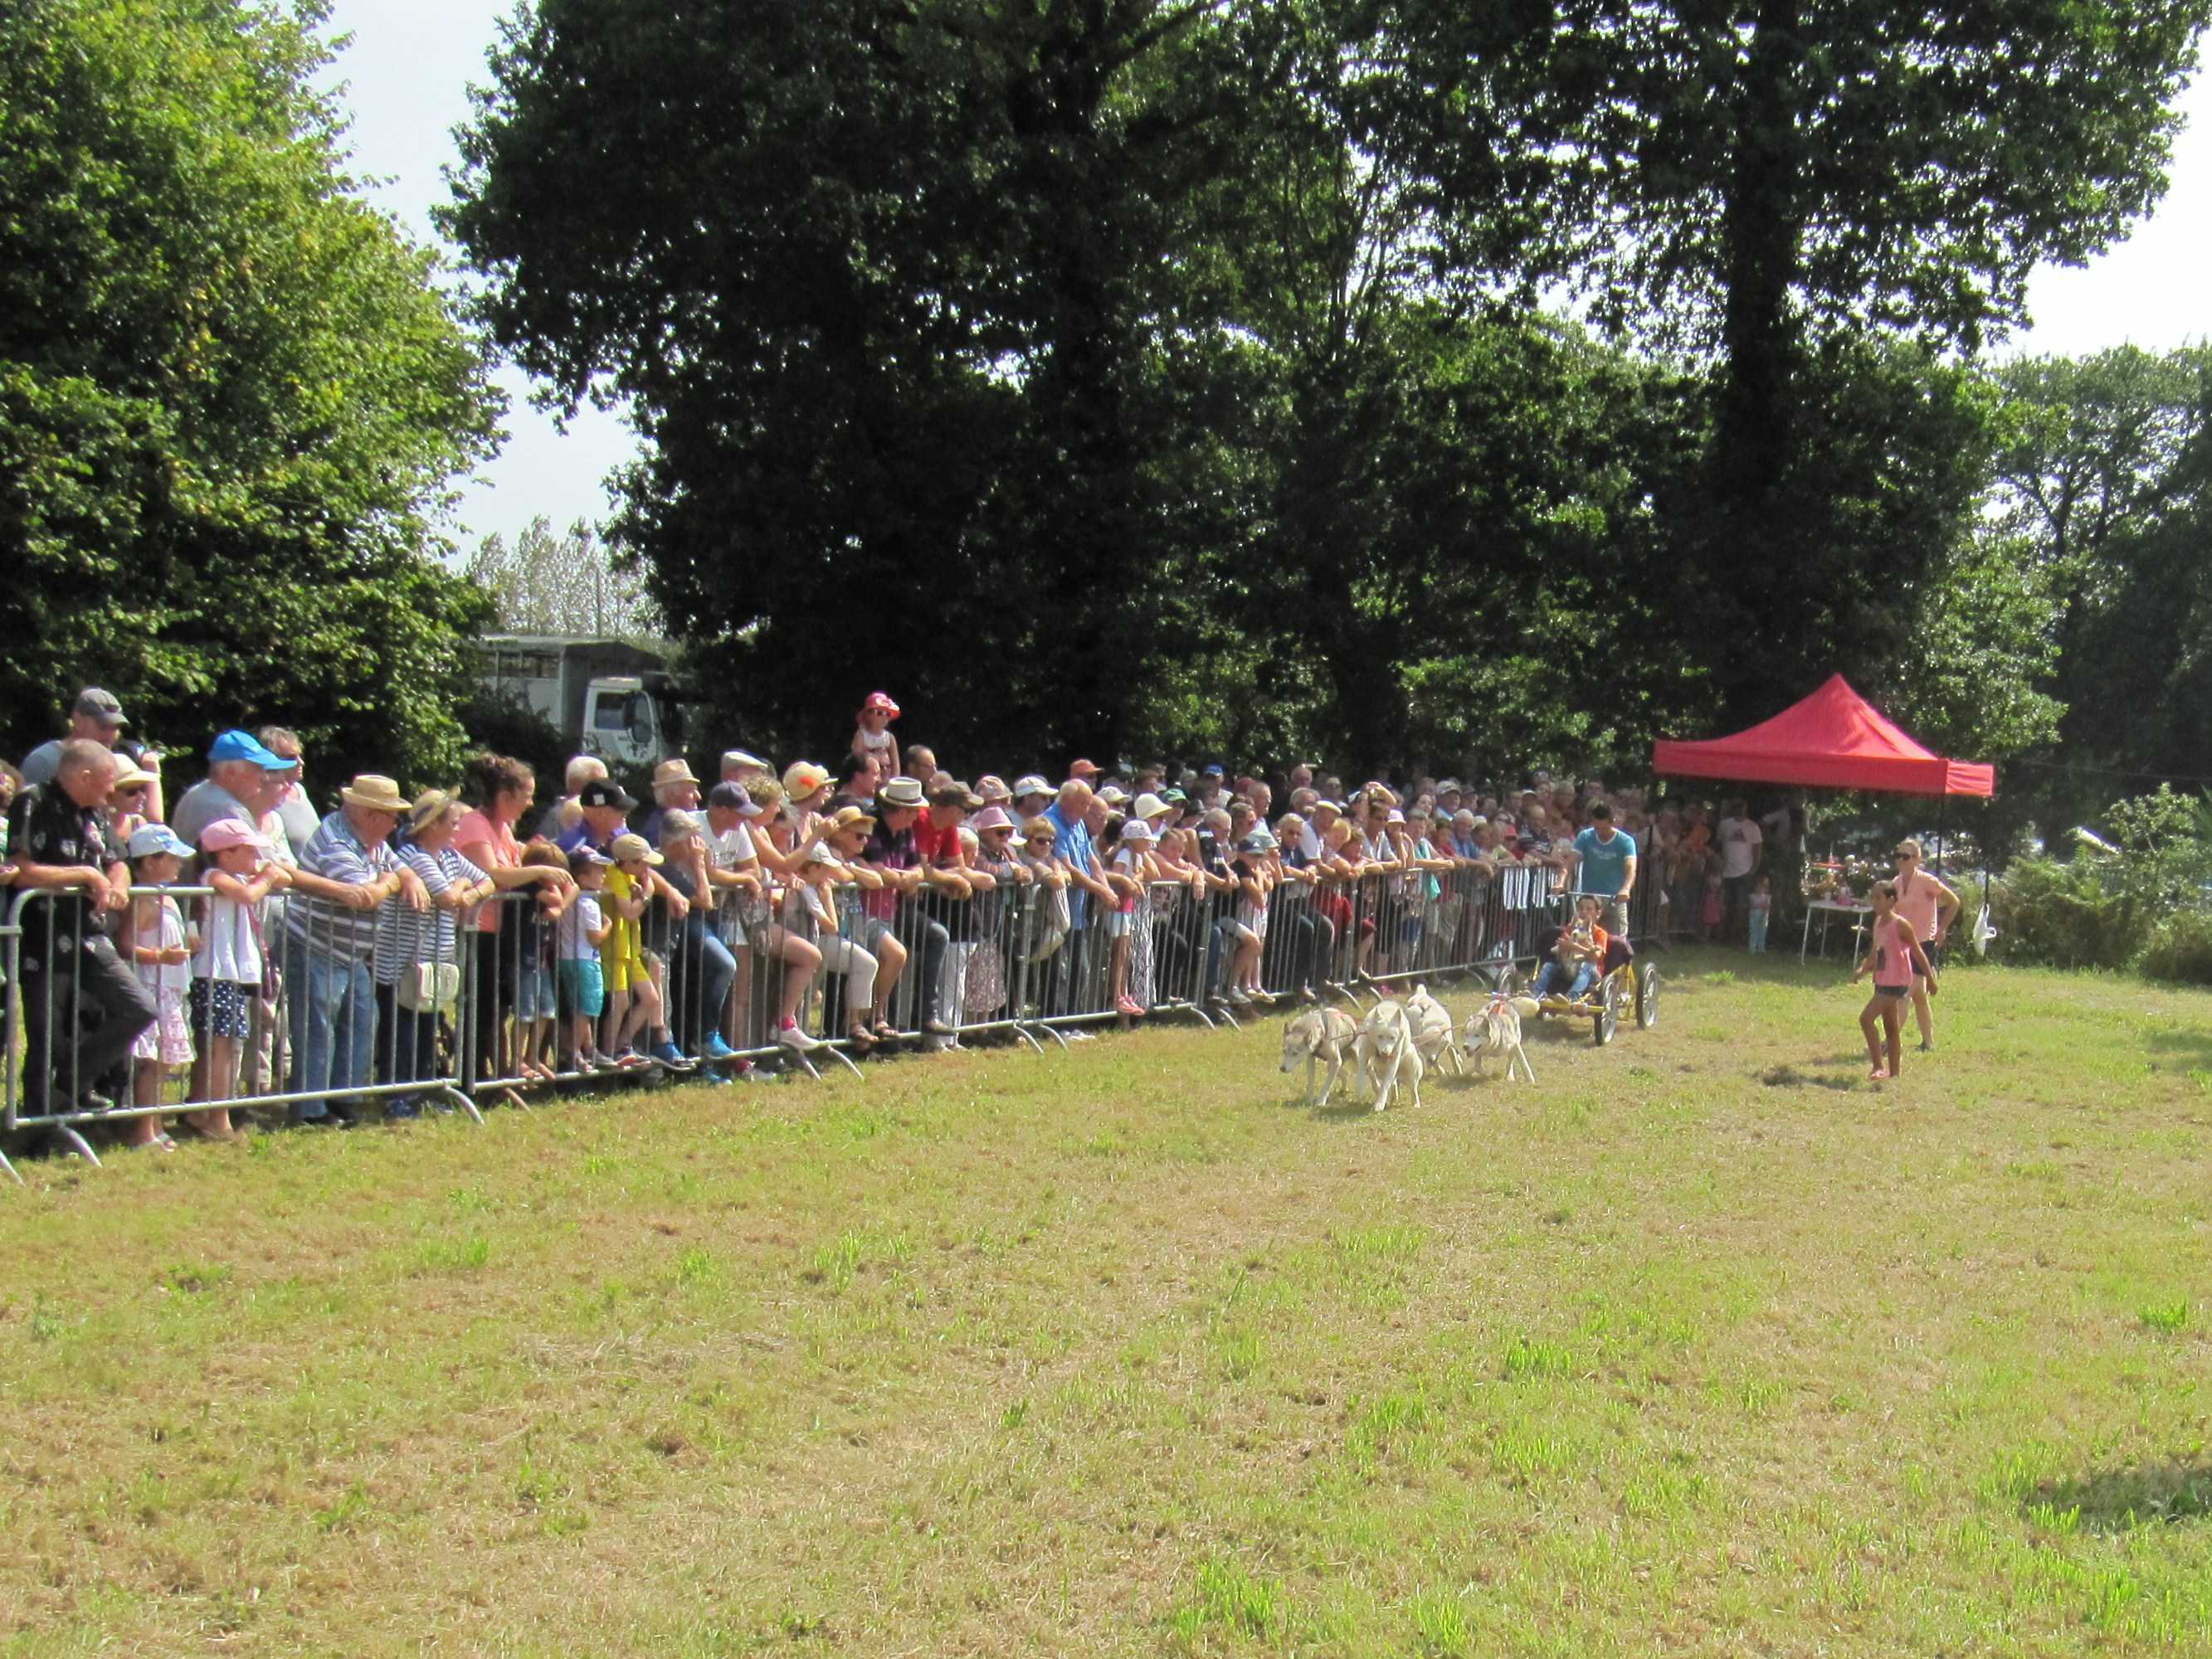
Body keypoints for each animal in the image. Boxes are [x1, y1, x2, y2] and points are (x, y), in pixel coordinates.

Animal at [1355, 998, 1423, 1112]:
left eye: (1392, 1038)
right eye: (1380, 1036)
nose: (1385, 1053)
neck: (1387, 1012)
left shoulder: (1393, 1062)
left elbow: (1385, 1086)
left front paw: (1379, 1104)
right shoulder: (1364, 1054)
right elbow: (1363, 1072)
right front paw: (1361, 1089)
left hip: (1410, 1069)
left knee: (1413, 1088)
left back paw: (1416, 1104)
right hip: (1380, 1070)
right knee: (1393, 1083)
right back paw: (1391, 1098)